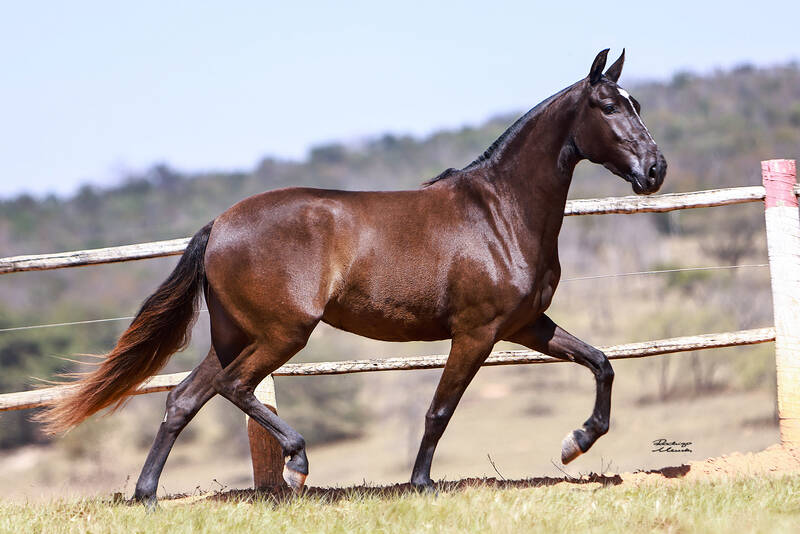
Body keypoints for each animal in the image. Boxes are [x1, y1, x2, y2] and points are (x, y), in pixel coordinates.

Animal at [35, 49, 666, 506]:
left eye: (635, 102)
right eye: (609, 107)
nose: (655, 170)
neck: (501, 213)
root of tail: (220, 225)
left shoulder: (526, 325)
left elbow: (601, 363)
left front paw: (574, 444)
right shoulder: (478, 332)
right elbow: (440, 409)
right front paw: (420, 484)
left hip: (236, 335)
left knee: (184, 399)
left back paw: (145, 496)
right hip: (283, 333)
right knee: (233, 388)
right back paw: (296, 466)